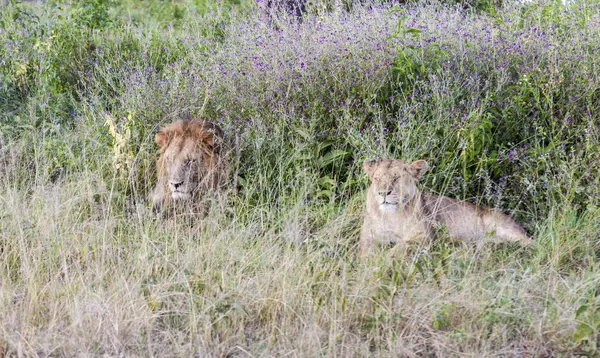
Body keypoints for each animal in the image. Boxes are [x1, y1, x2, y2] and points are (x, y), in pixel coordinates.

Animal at [358, 158, 532, 256]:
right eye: (376, 178)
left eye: (396, 178)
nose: (383, 193)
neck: (391, 215)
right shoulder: (367, 237)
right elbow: (366, 252)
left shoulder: (425, 237)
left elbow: (401, 246)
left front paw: (385, 259)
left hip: (499, 224)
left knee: (531, 243)